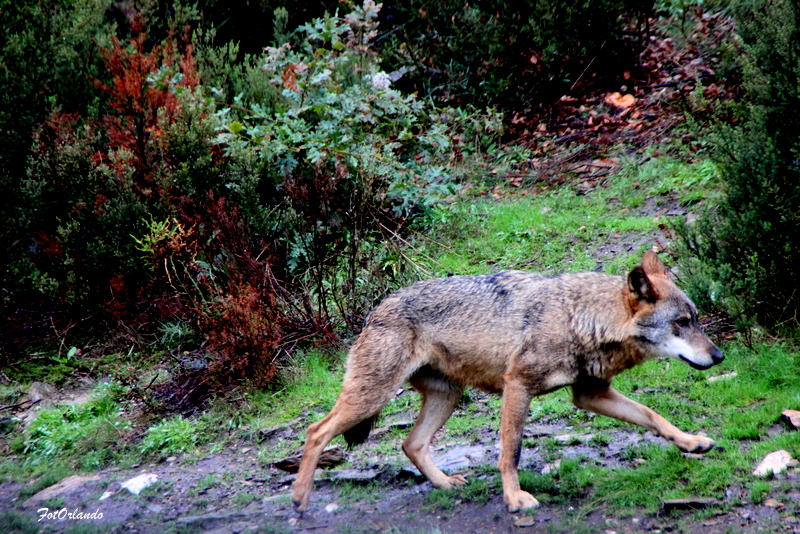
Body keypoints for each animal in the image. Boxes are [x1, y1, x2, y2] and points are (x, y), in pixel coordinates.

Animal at [290, 253, 720, 516]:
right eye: (681, 323)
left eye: (696, 319)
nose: (718, 357)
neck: (578, 318)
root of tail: (375, 309)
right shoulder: (518, 387)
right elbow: (510, 452)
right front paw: (514, 499)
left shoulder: (590, 393)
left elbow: (652, 414)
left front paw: (691, 442)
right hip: (371, 398)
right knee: (315, 431)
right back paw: (299, 498)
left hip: (447, 397)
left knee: (410, 444)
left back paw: (445, 484)